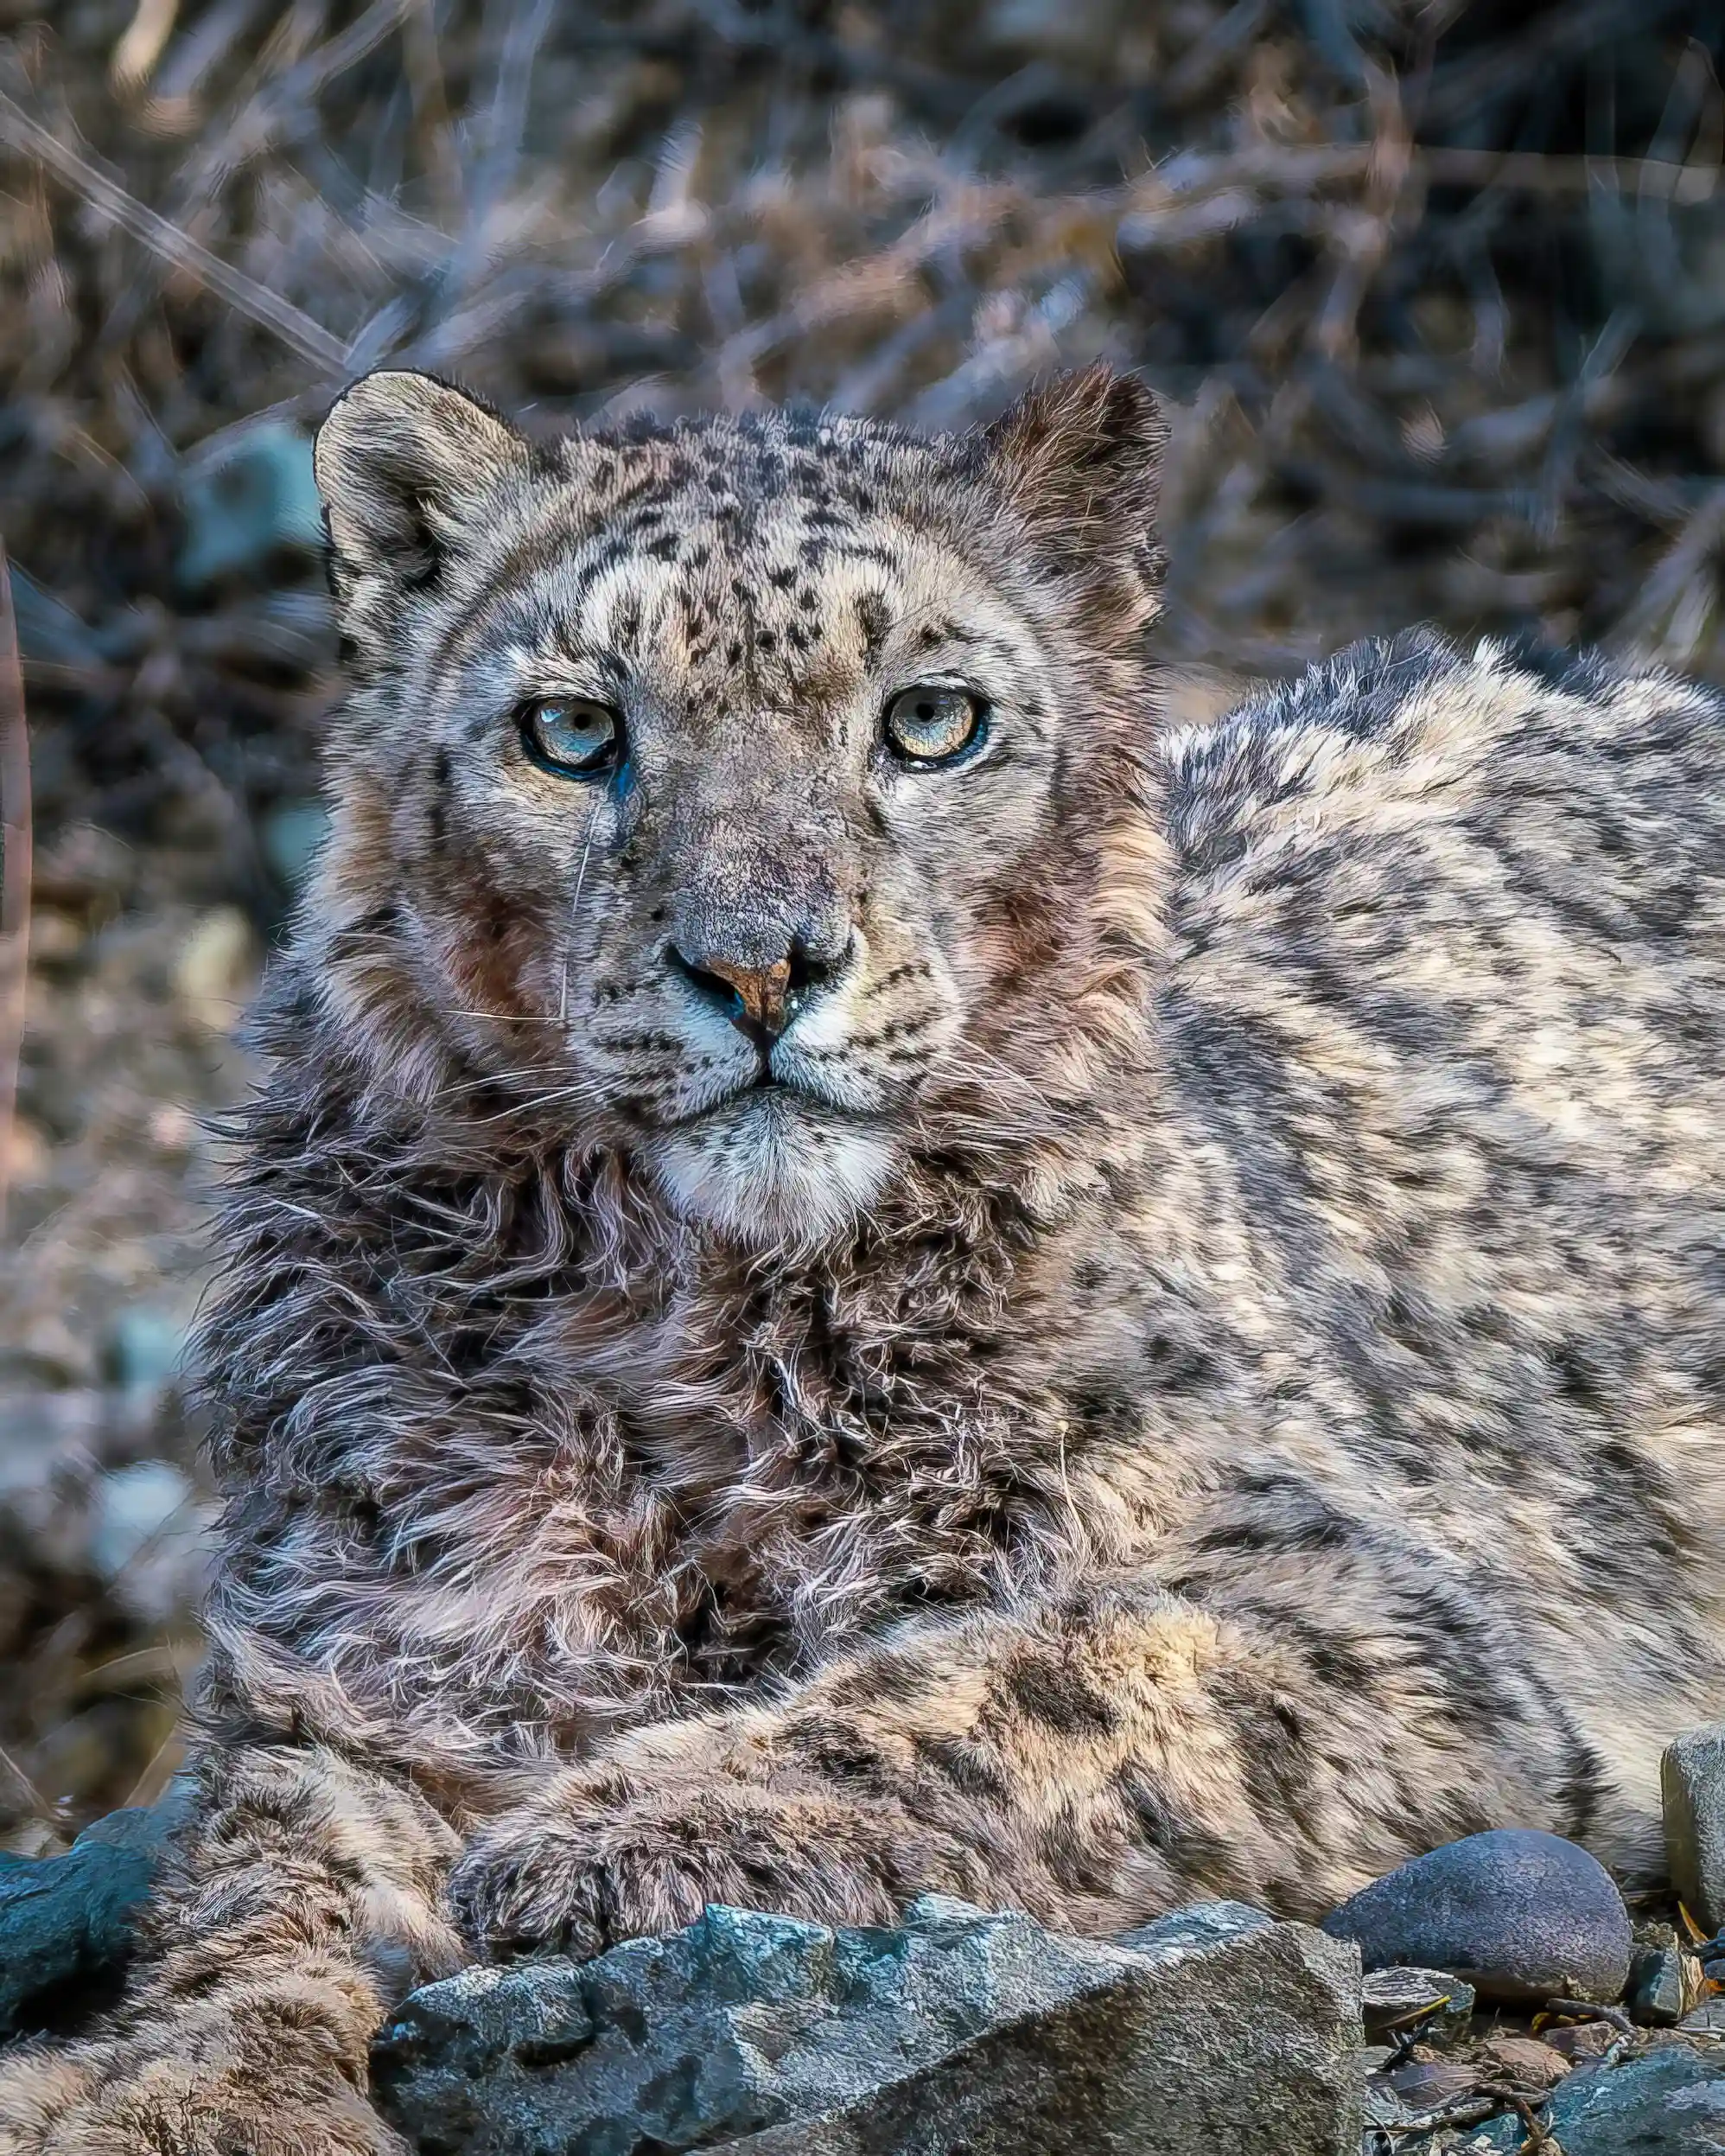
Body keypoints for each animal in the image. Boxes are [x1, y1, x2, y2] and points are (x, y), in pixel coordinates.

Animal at [4, 361, 1725, 2154]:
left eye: (931, 717)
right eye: (573, 730)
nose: (761, 962)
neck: (688, 1325)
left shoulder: (1347, 1600)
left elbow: (1030, 1673)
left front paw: (589, 1831)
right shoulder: (387, 1633)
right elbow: (269, 1886)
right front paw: (166, 2092)